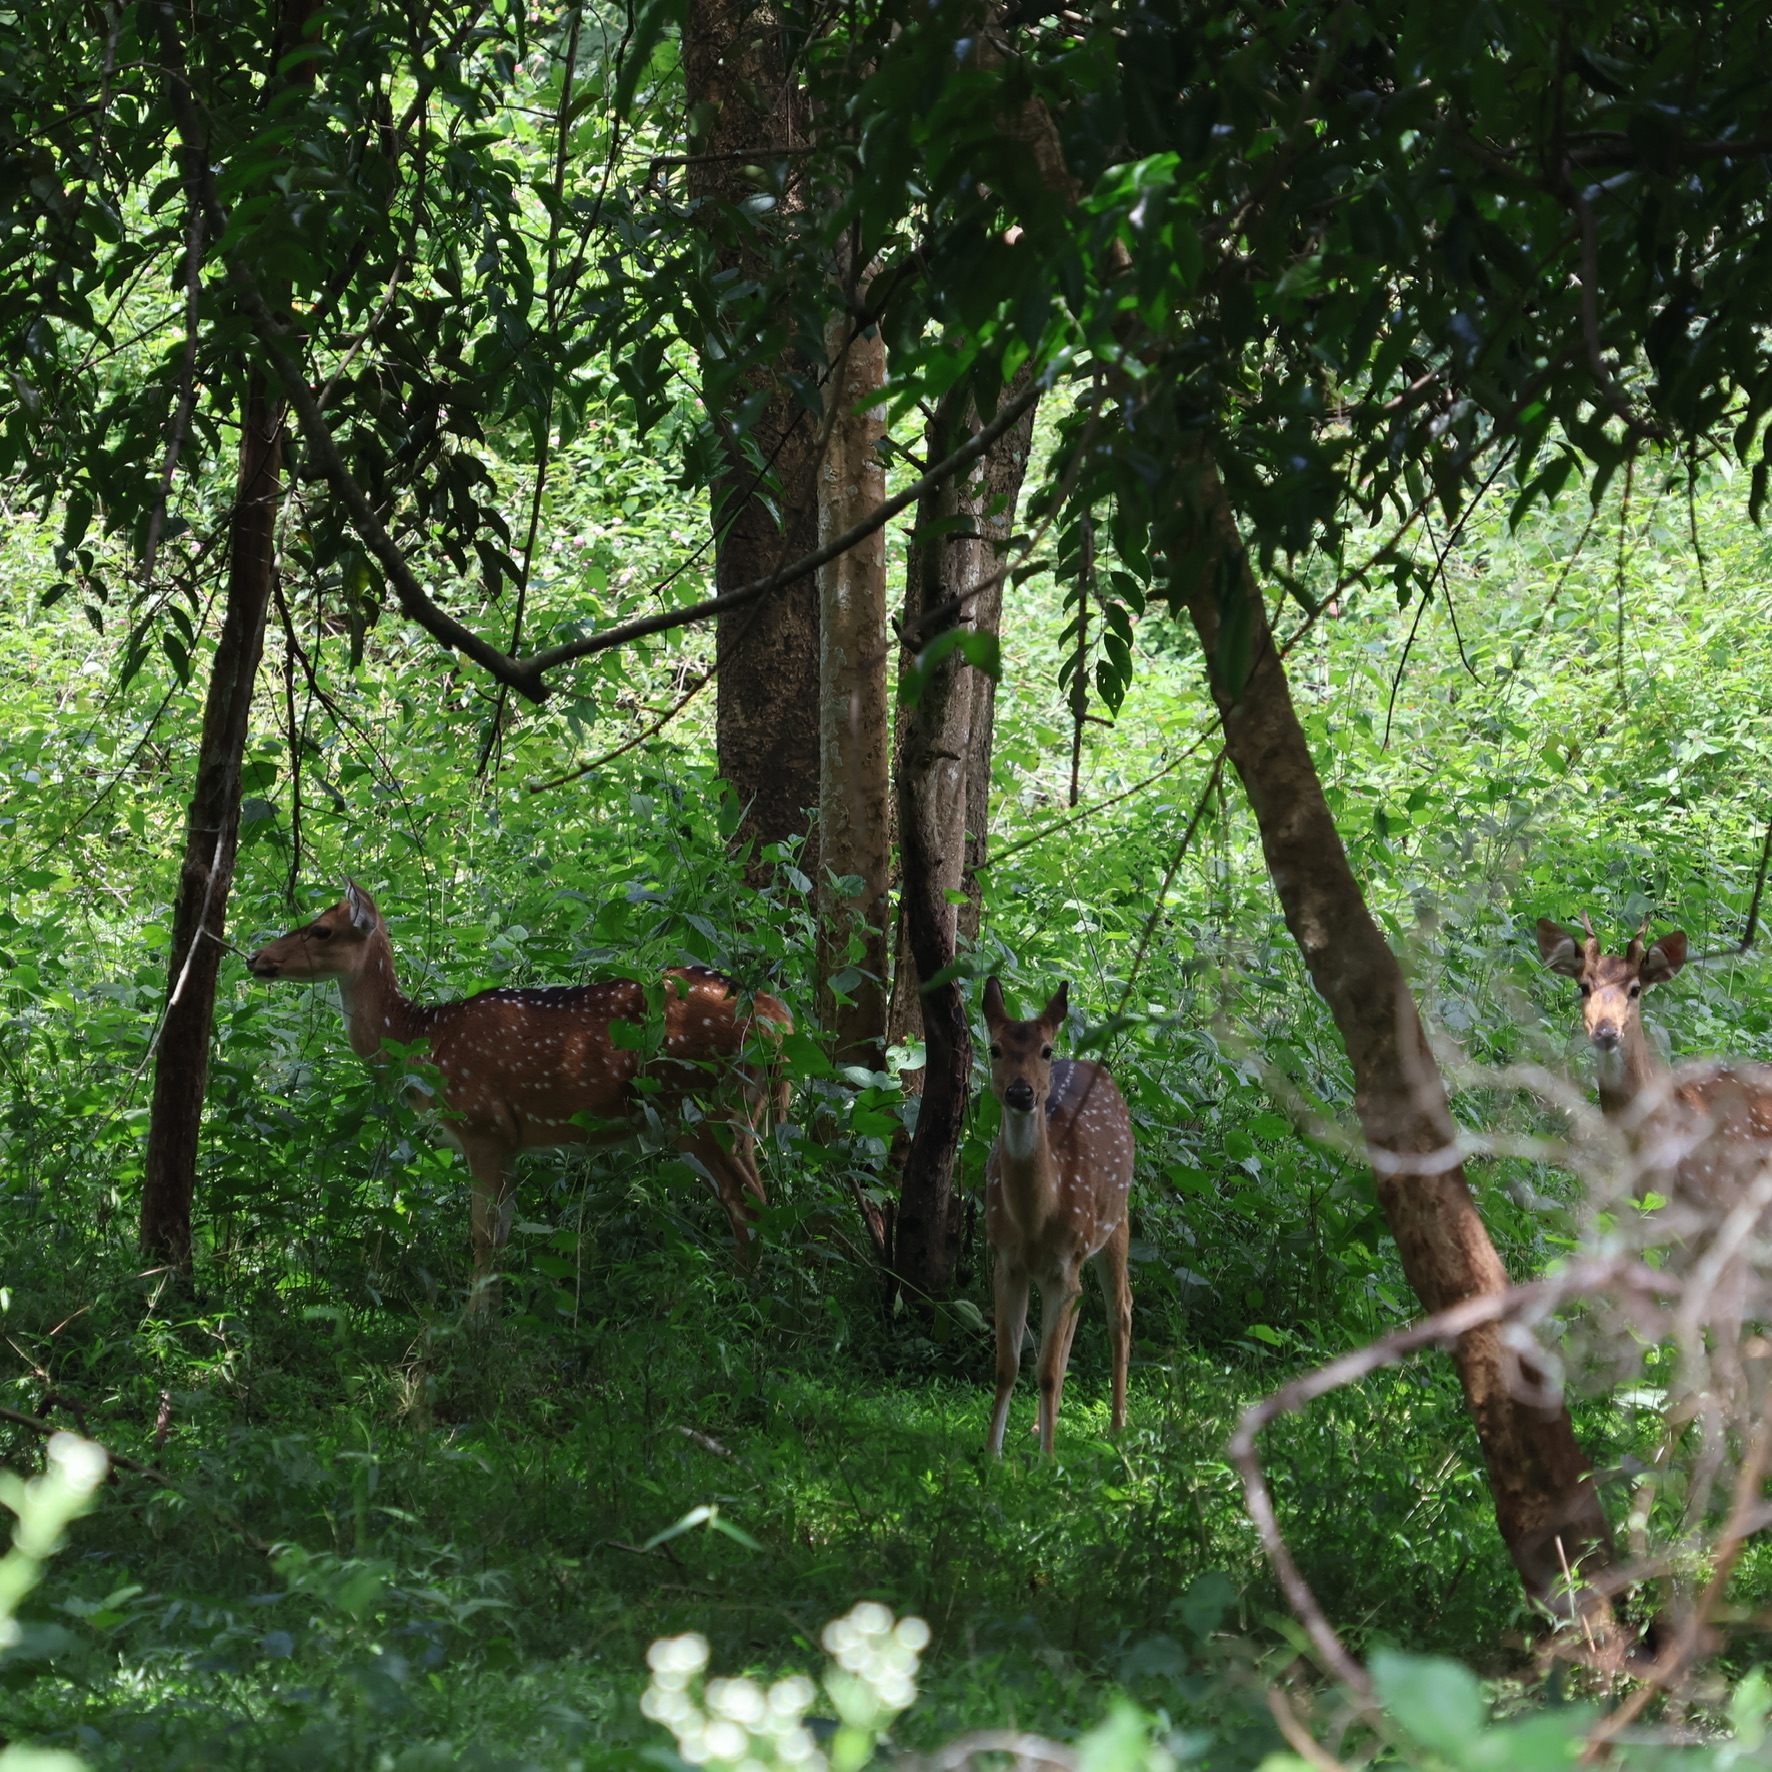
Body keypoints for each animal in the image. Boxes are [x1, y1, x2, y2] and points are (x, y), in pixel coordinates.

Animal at [248, 882, 792, 1301]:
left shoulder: (482, 1126)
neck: (425, 1041)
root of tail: (779, 1020)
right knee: (758, 1201)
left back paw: (740, 1301)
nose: (256, 958)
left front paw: (472, 1330)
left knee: (747, 1204)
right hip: (736, 1108)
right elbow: (504, 1235)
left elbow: (483, 1236)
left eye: (322, 929)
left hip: (700, 1102)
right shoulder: (512, 1141)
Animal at [981, 977, 1134, 1457]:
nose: (1021, 1092)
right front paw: (993, 1455)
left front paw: (1048, 1461)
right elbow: (1007, 1366)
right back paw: (1035, 1426)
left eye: (1045, 1050)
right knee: (1081, 1308)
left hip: (1115, 1220)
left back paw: (1118, 1427)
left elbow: (1045, 1371)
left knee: (1121, 1310)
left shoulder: (1064, 1260)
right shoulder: (1006, 1262)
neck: (1035, 1220)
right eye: (994, 1048)